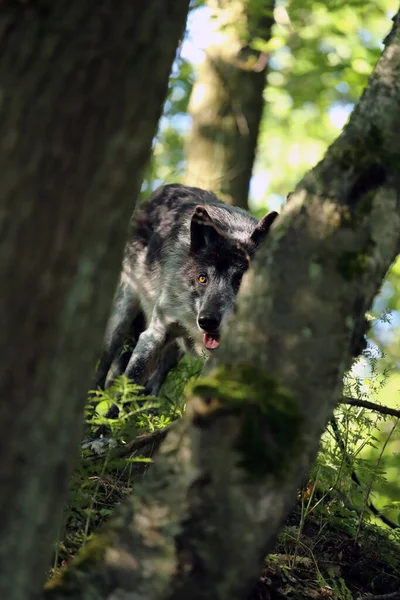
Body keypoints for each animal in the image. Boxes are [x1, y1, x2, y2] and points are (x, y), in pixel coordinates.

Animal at [94, 183, 278, 398]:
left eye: (241, 279)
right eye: (202, 278)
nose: (207, 321)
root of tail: (165, 189)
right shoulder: (154, 334)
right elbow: (127, 389)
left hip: (173, 353)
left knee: (152, 386)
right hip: (122, 318)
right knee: (104, 365)